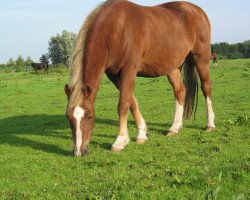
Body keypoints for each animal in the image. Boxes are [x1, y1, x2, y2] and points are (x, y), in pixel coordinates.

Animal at [64, 0, 215, 156]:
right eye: (68, 117)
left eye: (89, 116)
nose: (79, 151)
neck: (116, 30)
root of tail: (197, 10)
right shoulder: (114, 76)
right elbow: (132, 102)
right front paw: (142, 134)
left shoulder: (129, 70)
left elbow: (123, 104)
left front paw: (120, 141)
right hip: (172, 67)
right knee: (180, 91)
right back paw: (175, 127)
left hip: (201, 59)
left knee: (206, 88)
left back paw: (210, 124)